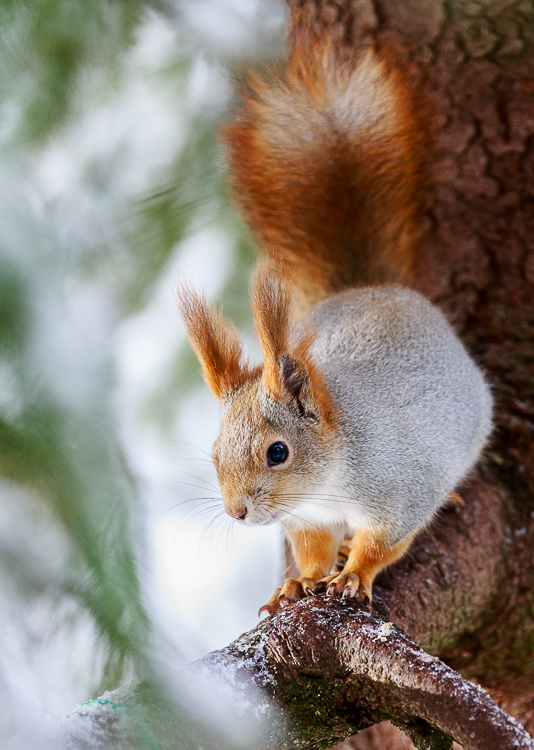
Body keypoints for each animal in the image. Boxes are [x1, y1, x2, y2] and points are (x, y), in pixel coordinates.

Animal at [178, 13, 496, 616]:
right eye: (213, 453)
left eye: (278, 452)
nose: (236, 513)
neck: (328, 481)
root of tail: (375, 287)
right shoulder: (307, 519)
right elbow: (311, 550)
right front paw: (299, 582)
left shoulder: (401, 487)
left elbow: (385, 541)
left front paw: (353, 575)